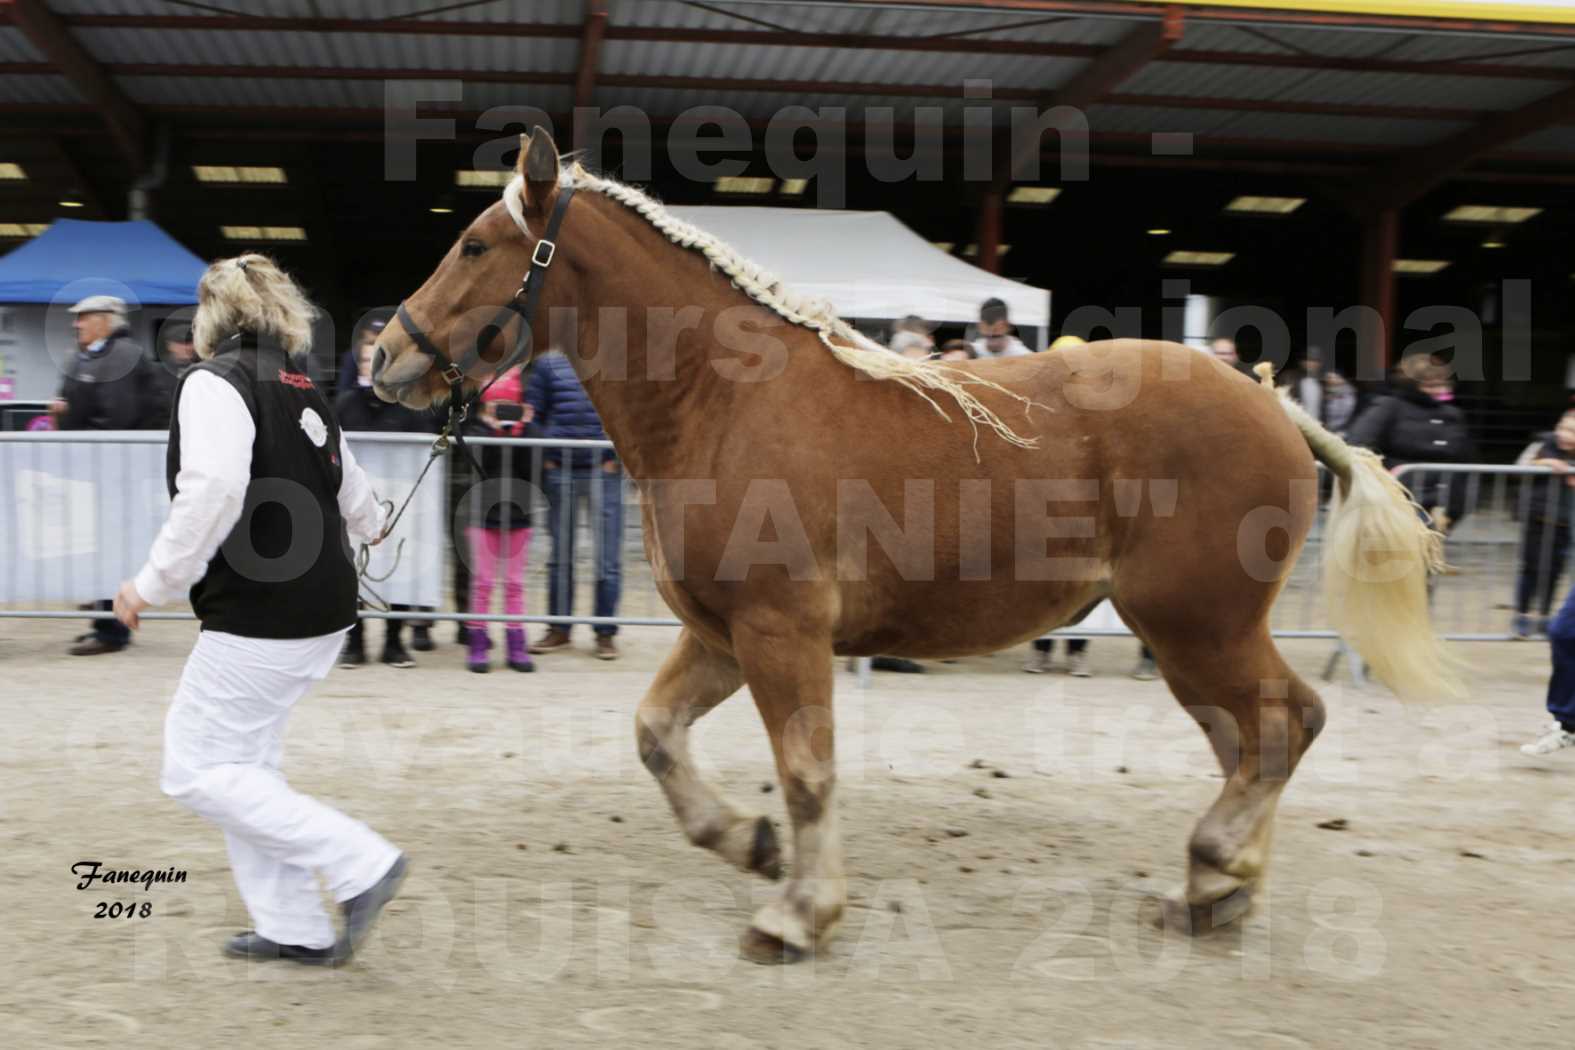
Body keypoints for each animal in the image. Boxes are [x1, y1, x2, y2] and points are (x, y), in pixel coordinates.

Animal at [374, 129, 1455, 963]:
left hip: (1199, 626)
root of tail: (1276, 405)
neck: (721, 400)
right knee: (1250, 739)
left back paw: (1216, 871)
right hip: (1193, 638)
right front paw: (752, 845)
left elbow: (807, 774)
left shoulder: (780, 633)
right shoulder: (721, 636)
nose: (383, 356)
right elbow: (657, 737)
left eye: (474, 244)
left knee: (1284, 724)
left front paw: (799, 914)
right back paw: (1217, 889)